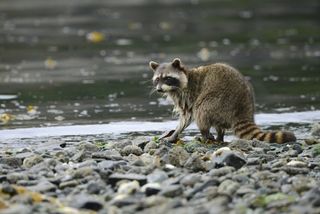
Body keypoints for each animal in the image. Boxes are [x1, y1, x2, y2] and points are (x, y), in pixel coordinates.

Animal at [149, 58, 296, 144]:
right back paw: (219, 136)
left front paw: (175, 133)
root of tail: (244, 108)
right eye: (157, 79)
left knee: (201, 109)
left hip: (219, 101)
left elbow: (187, 116)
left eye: (167, 78)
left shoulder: (187, 95)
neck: (187, 77)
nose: (159, 89)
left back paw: (205, 135)